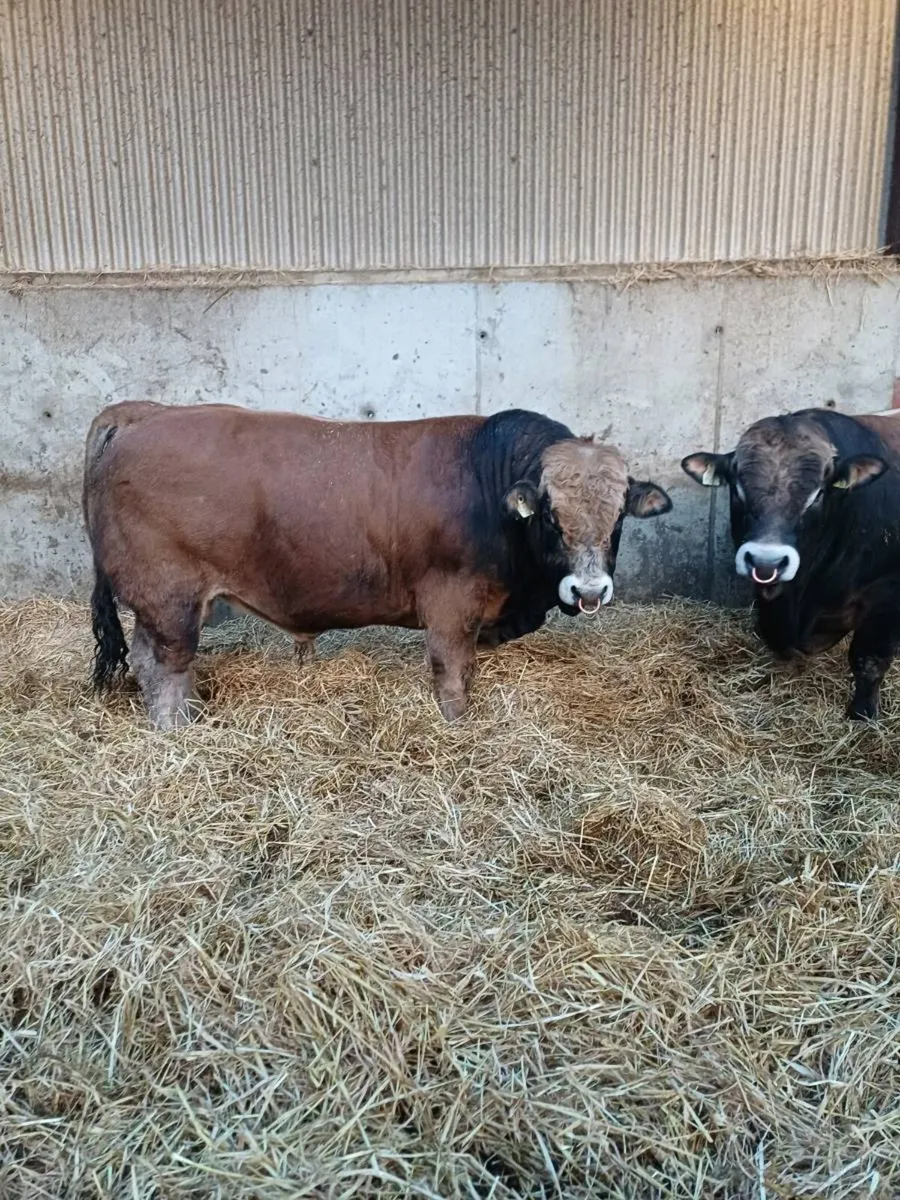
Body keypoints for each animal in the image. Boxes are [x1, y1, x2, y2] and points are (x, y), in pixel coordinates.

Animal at [84, 401, 672, 729]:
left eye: (620, 515)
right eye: (550, 515)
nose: (589, 591)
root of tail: (145, 413)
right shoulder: (451, 606)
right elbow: (452, 676)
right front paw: (457, 726)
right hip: (169, 600)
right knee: (163, 666)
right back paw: (178, 729)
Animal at [682, 406, 900, 719]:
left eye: (818, 494)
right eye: (738, 488)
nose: (766, 558)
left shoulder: (887, 594)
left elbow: (869, 660)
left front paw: (862, 714)